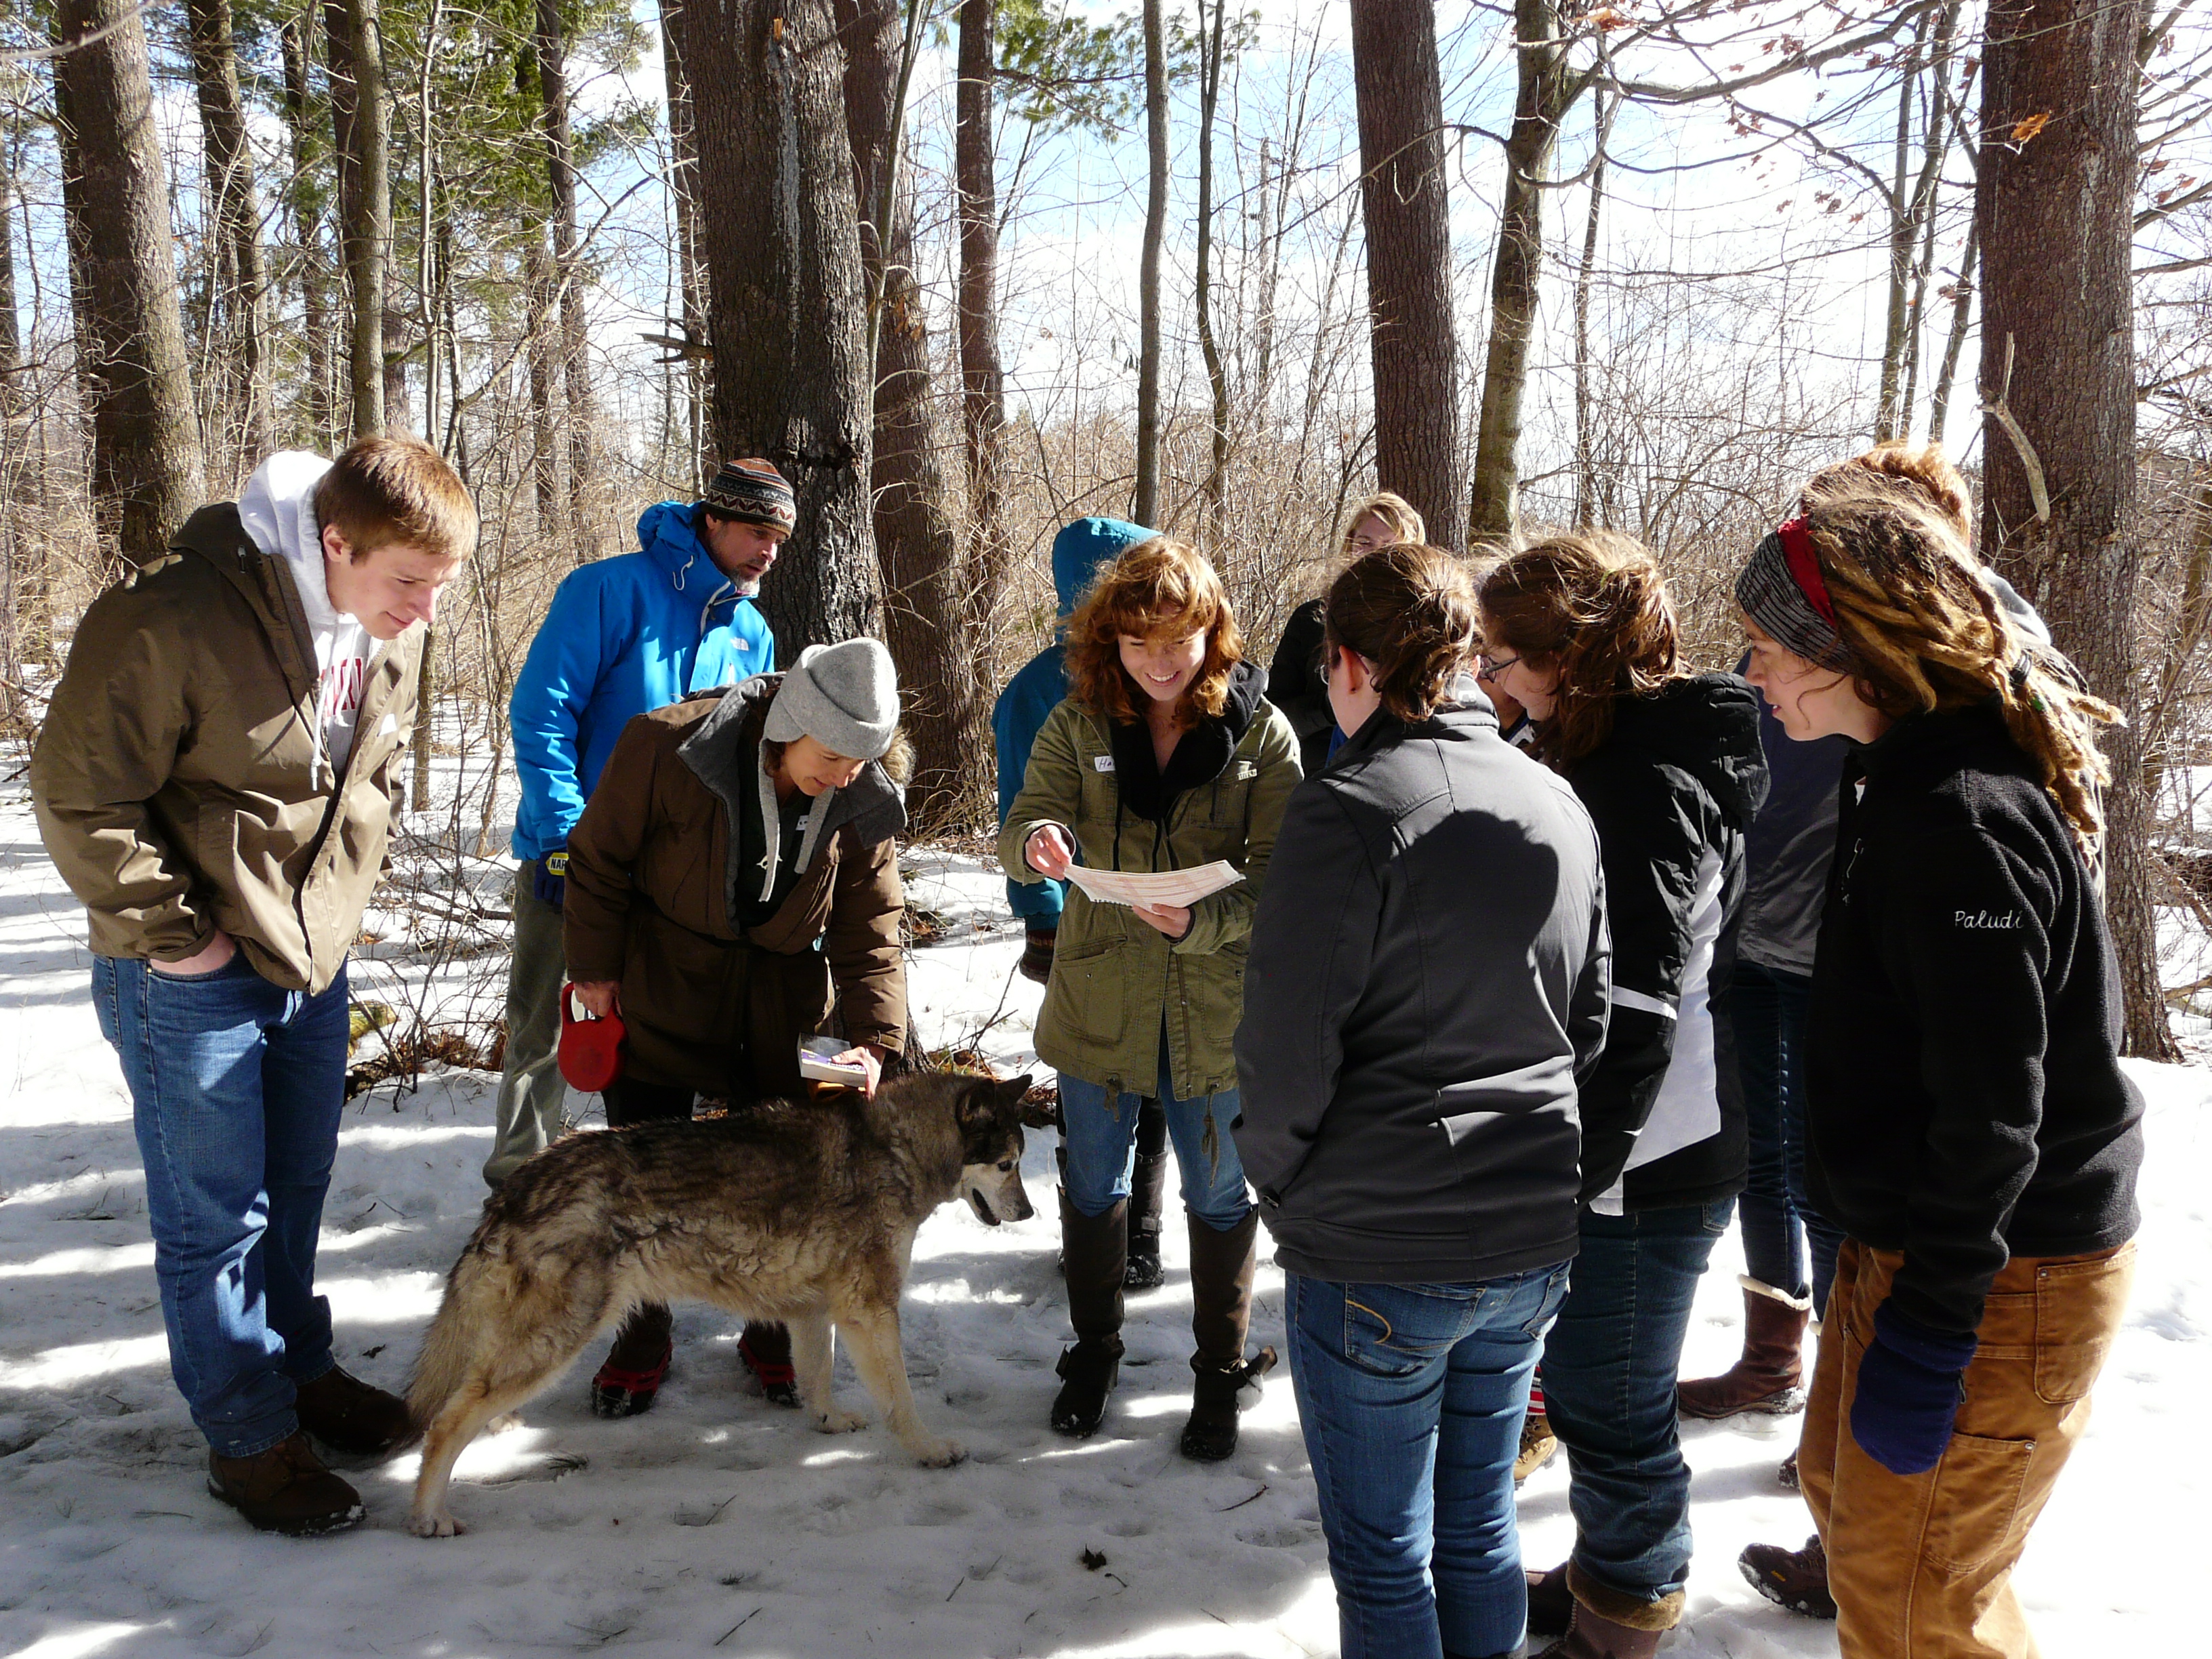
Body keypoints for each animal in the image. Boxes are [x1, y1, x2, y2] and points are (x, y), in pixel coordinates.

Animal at [405, 1070, 1035, 1537]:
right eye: (1007, 1164)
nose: (1030, 1213)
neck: (897, 1150)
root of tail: (516, 1185)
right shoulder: (870, 1310)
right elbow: (901, 1402)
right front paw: (930, 1451)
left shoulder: (815, 1312)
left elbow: (818, 1377)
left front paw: (828, 1421)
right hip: (558, 1342)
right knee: (442, 1426)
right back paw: (430, 1516)